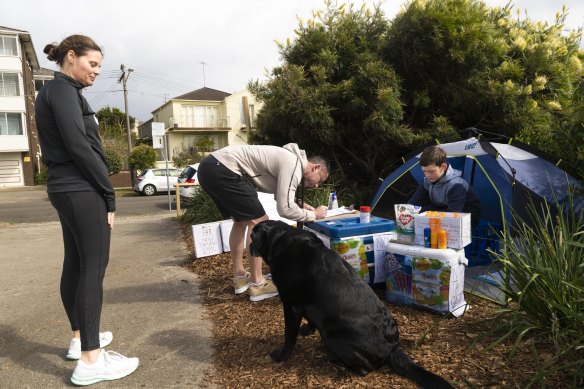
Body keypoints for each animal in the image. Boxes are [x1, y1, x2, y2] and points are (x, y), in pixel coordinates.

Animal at [250, 220, 452, 386]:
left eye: (251, 236)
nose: (249, 246)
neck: (279, 239)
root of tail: (392, 347)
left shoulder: (291, 304)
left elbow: (289, 336)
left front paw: (280, 356)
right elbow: (310, 319)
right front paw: (307, 330)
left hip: (331, 332)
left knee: (363, 370)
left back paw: (335, 359)